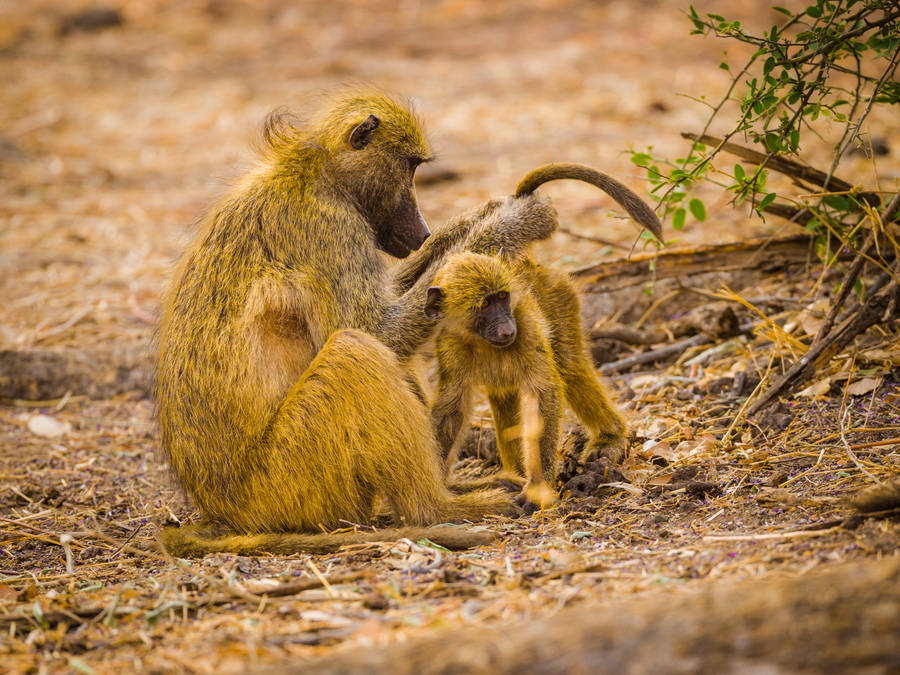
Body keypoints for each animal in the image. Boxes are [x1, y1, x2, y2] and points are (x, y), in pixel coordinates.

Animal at [424, 252, 562, 507]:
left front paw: (537, 488)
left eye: (502, 297)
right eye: (485, 305)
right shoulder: (449, 341)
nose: (508, 330)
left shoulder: (526, 326)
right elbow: (452, 407)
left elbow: (542, 393)